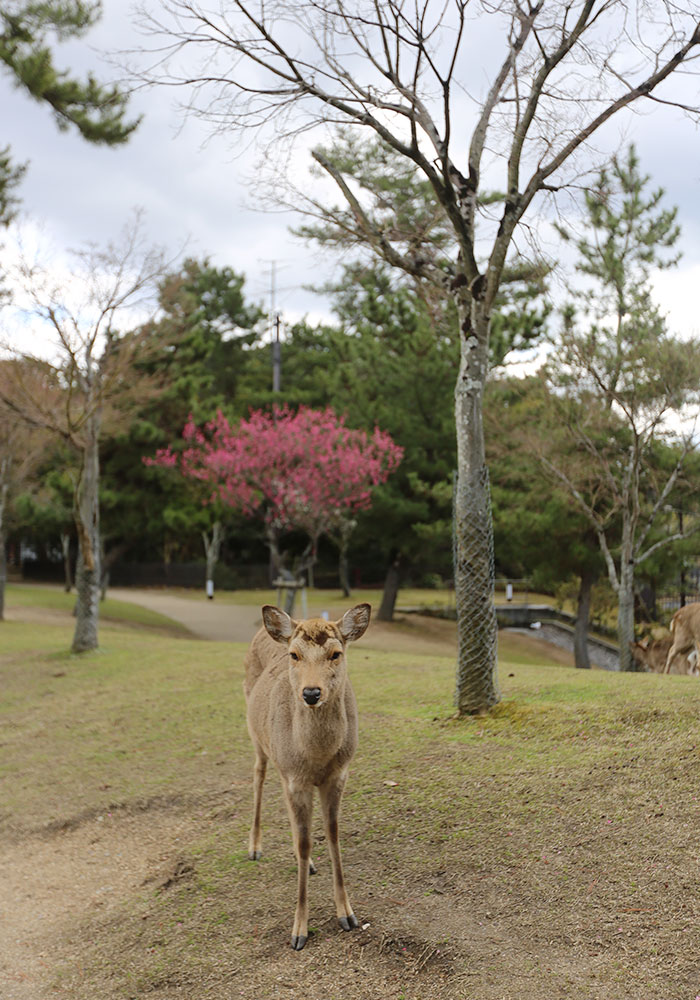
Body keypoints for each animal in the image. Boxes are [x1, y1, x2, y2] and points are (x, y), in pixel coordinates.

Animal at [243, 604, 372, 948]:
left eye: (336, 653)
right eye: (295, 655)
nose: (311, 693)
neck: (316, 758)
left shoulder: (338, 774)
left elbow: (332, 834)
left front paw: (348, 915)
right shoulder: (296, 779)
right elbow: (305, 843)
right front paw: (298, 930)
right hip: (255, 734)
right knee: (258, 774)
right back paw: (254, 848)